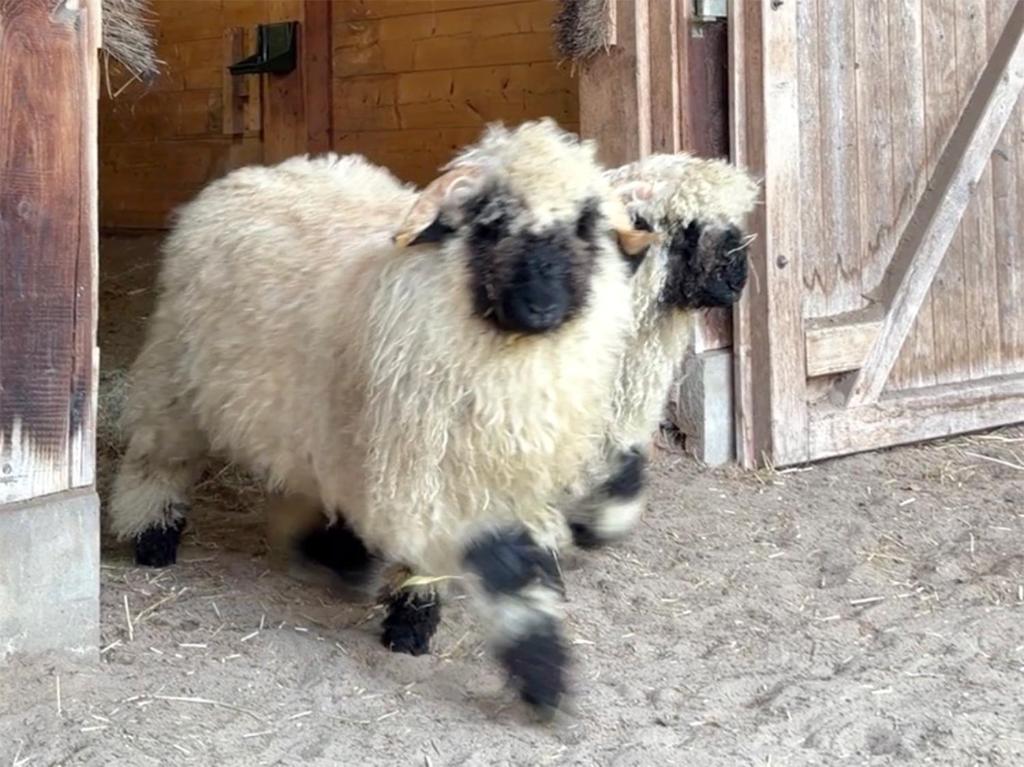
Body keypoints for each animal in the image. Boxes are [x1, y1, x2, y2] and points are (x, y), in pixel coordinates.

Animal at [108, 118, 655, 716]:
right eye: (491, 223)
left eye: (584, 226)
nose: (543, 306)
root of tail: (263, 170)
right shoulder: (425, 468)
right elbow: (485, 560)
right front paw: (438, 634)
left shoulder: (492, 470)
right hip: (176, 372)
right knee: (158, 455)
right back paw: (154, 536)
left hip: (302, 416)